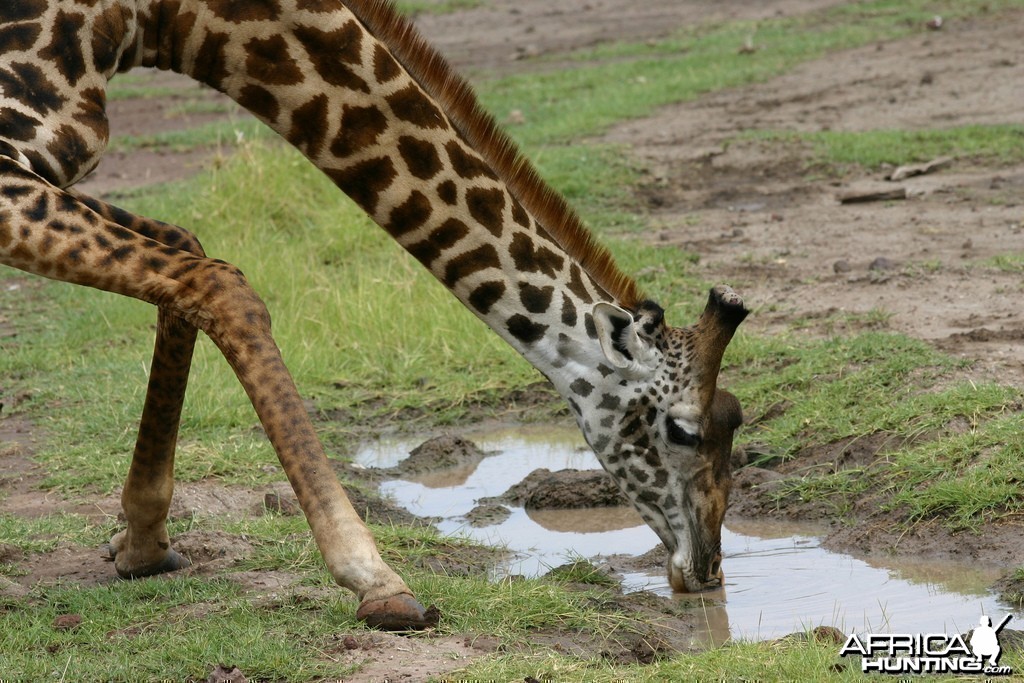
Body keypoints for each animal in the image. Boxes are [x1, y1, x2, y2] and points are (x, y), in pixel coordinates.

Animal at [2, 0, 753, 630]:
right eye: (684, 431)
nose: (708, 569)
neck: (173, 19)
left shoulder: (43, 170)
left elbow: (187, 248)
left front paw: (142, 542)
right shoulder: (12, 172)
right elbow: (222, 283)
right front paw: (377, 579)